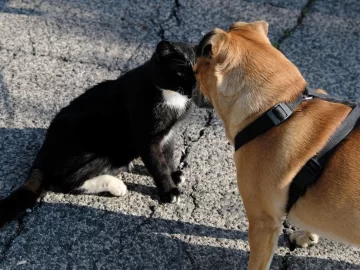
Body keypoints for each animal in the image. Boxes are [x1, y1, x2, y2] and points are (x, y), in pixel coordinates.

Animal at [0, 40, 197, 227]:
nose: (194, 88)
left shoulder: (169, 133)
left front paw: (174, 174)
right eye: (181, 73)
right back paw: (116, 184)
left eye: (198, 72)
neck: (171, 98)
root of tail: (44, 153)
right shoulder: (146, 139)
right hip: (101, 145)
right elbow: (158, 165)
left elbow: (168, 154)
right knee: (68, 182)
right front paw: (169, 191)